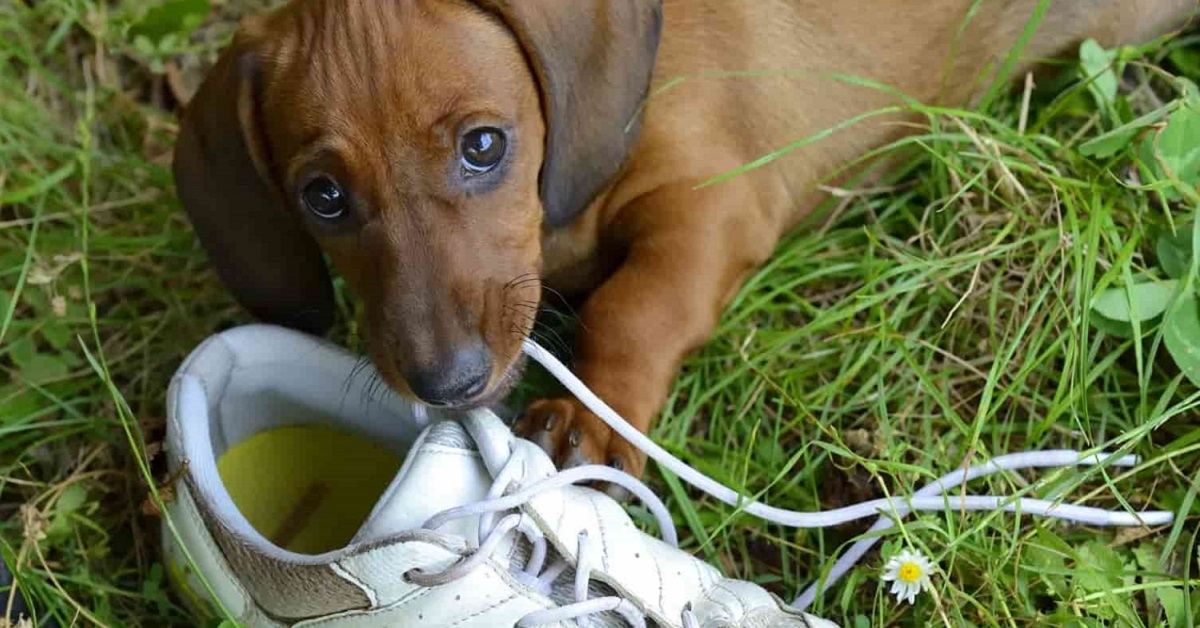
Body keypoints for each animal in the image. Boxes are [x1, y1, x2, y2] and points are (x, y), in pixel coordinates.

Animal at [174, 0, 1195, 477]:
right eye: (323, 197)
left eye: (484, 146)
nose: (449, 384)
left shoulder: (712, 204)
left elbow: (633, 309)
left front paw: (592, 418)